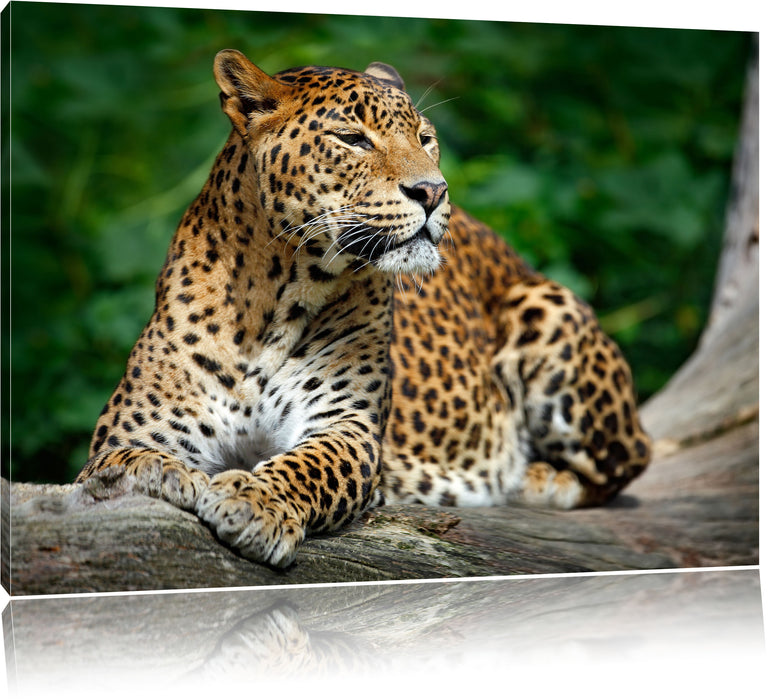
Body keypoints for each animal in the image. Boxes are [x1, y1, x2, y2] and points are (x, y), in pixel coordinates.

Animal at [76, 49, 651, 568]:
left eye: (425, 138)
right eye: (352, 139)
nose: (434, 191)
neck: (272, 299)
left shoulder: (347, 427)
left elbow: (308, 466)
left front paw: (254, 503)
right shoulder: (133, 428)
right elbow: (120, 461)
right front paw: (161, 474)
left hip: (549, 309)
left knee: (628, 460)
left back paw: (534, 477)